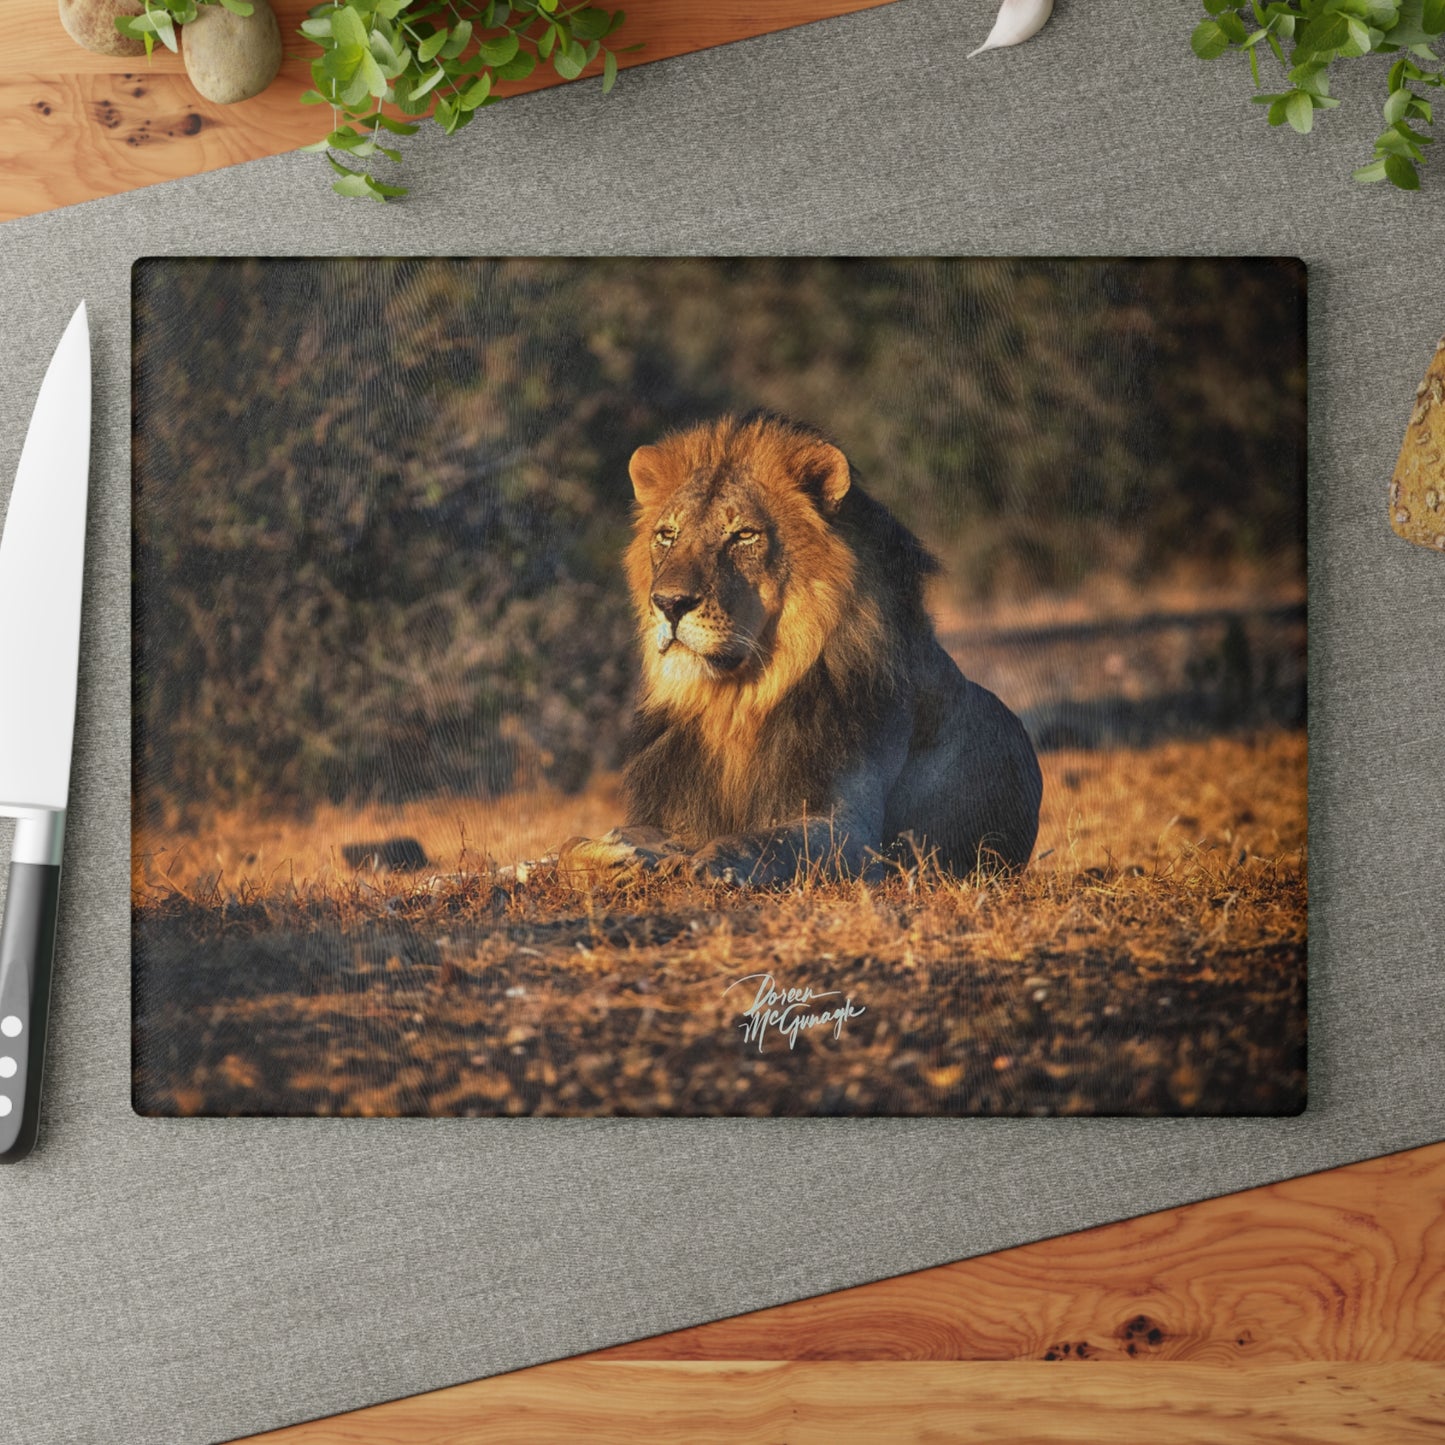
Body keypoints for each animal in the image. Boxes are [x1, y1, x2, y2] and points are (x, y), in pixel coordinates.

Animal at [561, 412, 1042, 886]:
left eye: (744, 535)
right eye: (667, 534)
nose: (668, 603)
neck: (735, 702)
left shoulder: (855, 832)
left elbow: (766, 840)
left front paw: (713, 863)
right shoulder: (675, 814)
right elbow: (573, 843)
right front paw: (609, 853)